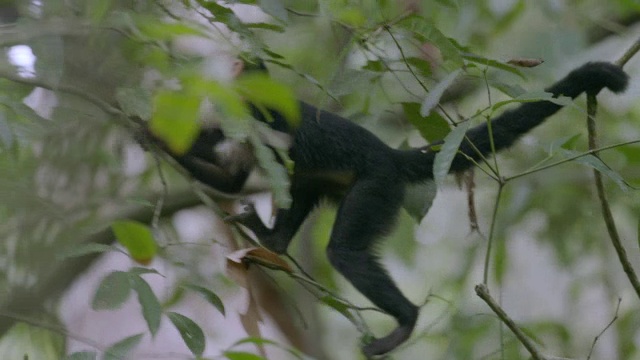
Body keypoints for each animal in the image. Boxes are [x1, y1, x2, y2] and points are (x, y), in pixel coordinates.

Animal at [146, 60, 632, 356]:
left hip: (376, 187)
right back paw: (275, 241)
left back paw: (405, 320)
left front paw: (153, 131)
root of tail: (389, 156)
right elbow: (234, 178)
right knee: (302, 186)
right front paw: (150, 132)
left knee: (343, 249)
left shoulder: (262, 113)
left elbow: (266, 153)